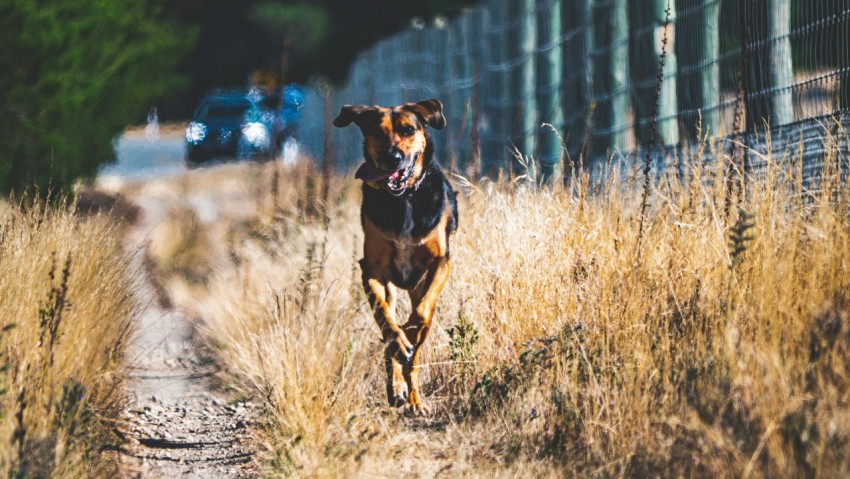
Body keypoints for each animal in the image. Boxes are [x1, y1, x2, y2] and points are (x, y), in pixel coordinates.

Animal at [334, 99, 460, 414]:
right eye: (377, 132)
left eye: (408, 129)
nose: (394, 158)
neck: (403, 199)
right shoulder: (371, 270)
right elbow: (384, 317)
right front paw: (398, 341)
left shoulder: (441, 262)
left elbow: (421, 315)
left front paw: (410, 331)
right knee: (387, 329)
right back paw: (398, 386)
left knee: (416, 348)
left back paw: (415, 398)